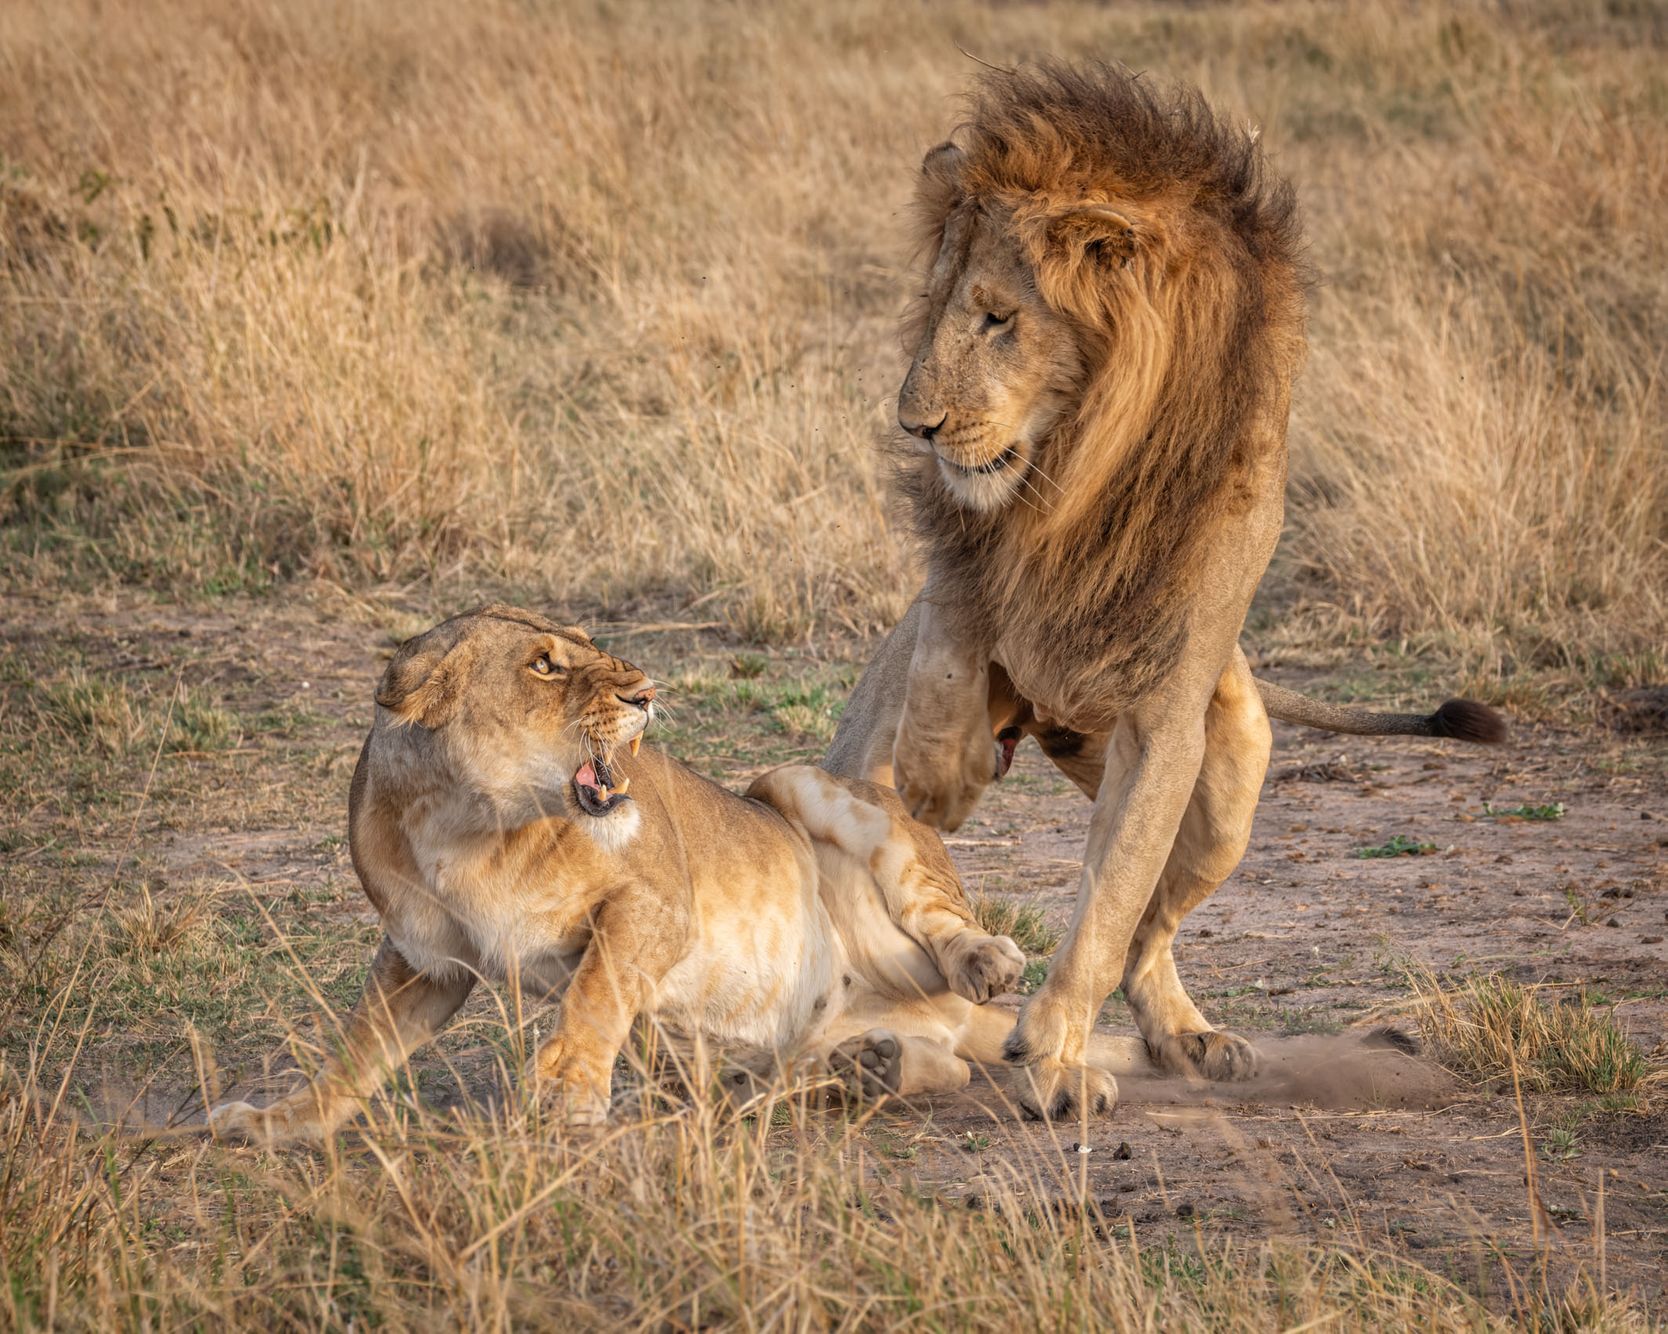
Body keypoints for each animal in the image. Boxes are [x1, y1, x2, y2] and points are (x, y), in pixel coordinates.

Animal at [208, 606, 1142, 1144]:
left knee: (946, 935)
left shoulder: (656, 908)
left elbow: (595, 992)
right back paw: (854, 1073)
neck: (464, 826)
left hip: (791, 781)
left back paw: (1000, 989)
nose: (646, 693)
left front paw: (568, 1094)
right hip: (716, 1038)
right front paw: (278, 1123)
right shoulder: (423, 963)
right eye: (543, 664)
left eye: (592, 649)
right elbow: (355, 1052)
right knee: (934, 1066)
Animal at [823, 62, 1505, 1120]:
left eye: (998, 317)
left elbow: (1109, 907)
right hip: (866, 774)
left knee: (1150, 927)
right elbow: (949, 646)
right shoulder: (964, 553)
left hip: (1229, 782)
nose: (916, 425)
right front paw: (945, 772)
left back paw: (1183, 1034)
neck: (1080, 457)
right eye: (937, 309)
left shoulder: (1163, 713)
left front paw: (1056, 1055)